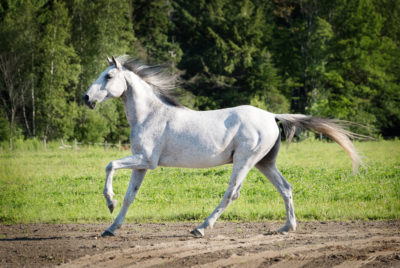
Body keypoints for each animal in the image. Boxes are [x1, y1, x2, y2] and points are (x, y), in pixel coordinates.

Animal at [83, 56, 360, 237]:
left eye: (109, 76)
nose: (86, 98)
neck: (150, 114)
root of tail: (272, 115)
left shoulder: (146, 160)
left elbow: (110, 165)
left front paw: (109, 202)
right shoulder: (141, 164)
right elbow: (130, 196)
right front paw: (111, 227)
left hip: (245, 161)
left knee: (231, 193)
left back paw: (201, 228)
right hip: (264, 163)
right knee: (286, 188)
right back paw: (286, 228)